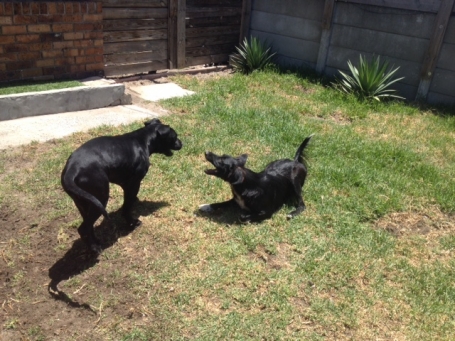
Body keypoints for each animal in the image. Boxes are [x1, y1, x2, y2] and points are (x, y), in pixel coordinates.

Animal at [61, 117, 183, 252]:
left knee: (88, 226)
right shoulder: (133, 184)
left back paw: (95, 242)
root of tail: (71, 170)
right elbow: (127, 206)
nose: (182, 143)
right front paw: (132, 223)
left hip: (84, 202)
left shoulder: (124, 184)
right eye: (175, 136)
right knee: (83, 228)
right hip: (100, 199)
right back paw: (94, 247)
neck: (143, 140)